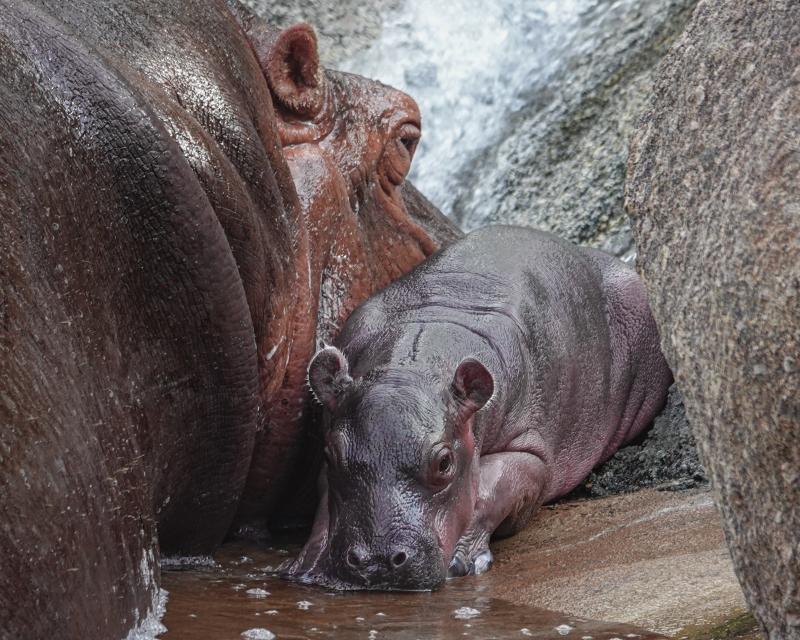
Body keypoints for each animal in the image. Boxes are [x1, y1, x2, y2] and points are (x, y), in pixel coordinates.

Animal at [288, 225, 673, 590]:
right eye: (332, 454)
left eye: (444, 462)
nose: (375, 562)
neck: (412, 366)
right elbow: (325, 500)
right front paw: (306, 565)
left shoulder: (529, 451)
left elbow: (496, 486)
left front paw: (462, 562)